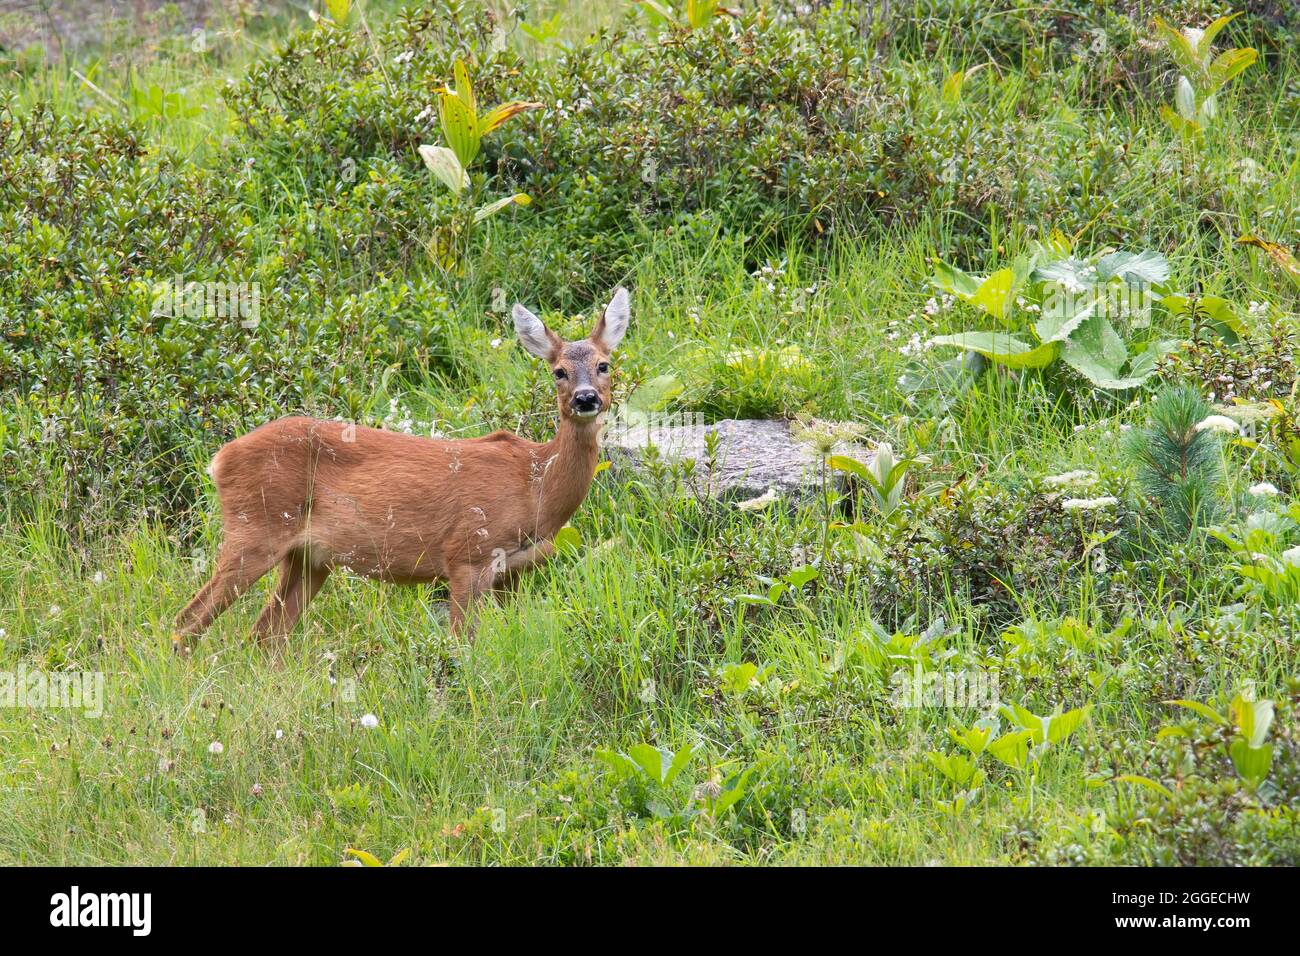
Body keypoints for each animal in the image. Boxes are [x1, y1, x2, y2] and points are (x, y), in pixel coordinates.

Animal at [171, 287, 629, 655]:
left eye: (604, 365)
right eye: (559, 371)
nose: (586, 399)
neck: (535, 484)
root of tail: (220, 459)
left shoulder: (515, 573)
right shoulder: (467, 554)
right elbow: (463, 646)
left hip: (309, 559)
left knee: (265, 634)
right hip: (254, 529)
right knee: (188, 620)